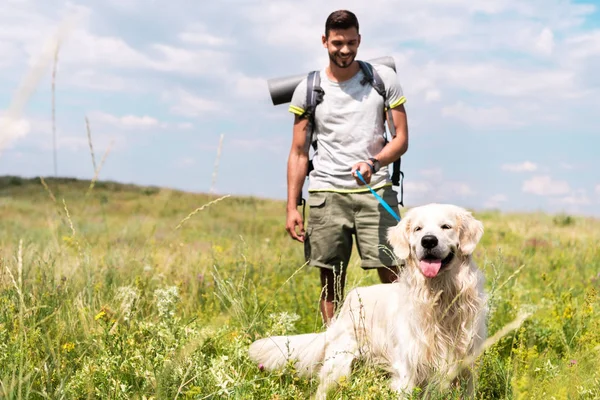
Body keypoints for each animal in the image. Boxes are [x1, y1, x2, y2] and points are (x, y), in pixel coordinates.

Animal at [248, 205, 488, 398]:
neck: (440, 296)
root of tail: (349, 300)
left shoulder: (466, 366)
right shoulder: (407, 367)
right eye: (418, 229)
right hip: (338, 363)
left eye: (446, 227)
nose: (428, 241)